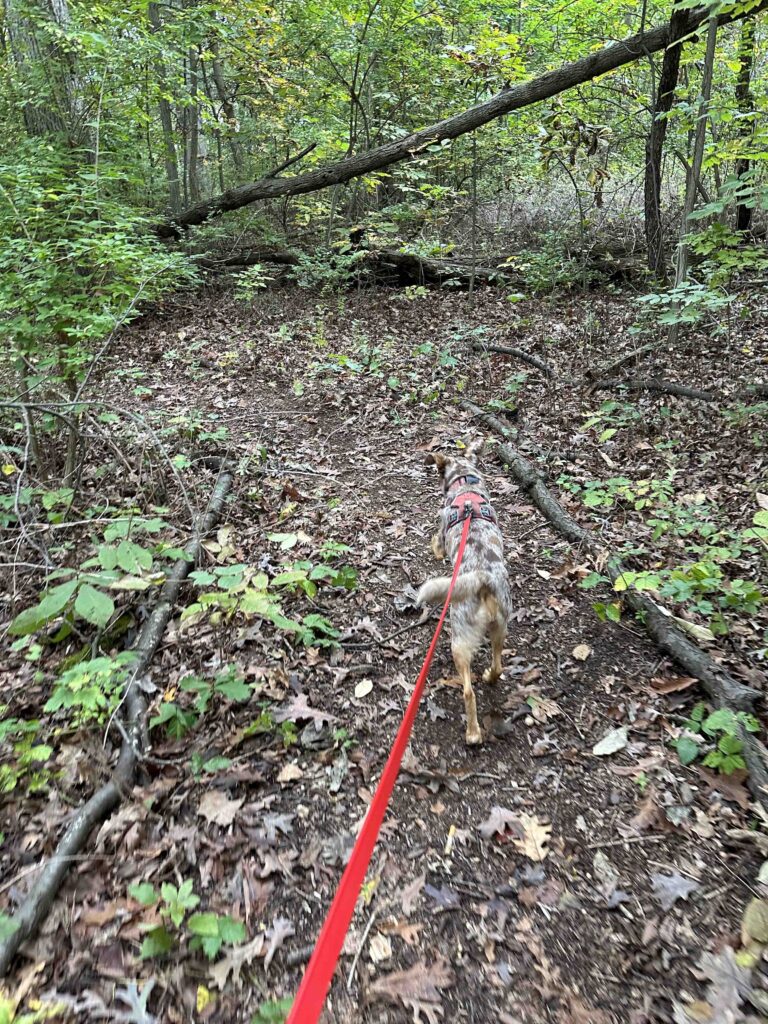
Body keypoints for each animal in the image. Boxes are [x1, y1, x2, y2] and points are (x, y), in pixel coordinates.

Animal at [417, 440, 507, 745]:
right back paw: (490, 676)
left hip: (459, 640)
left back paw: (473, 733)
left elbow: (436, 543)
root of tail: (482, 579)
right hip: (500, 628)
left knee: (468, 691)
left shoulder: (441, 537)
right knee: (498, 665)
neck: (465, 483)